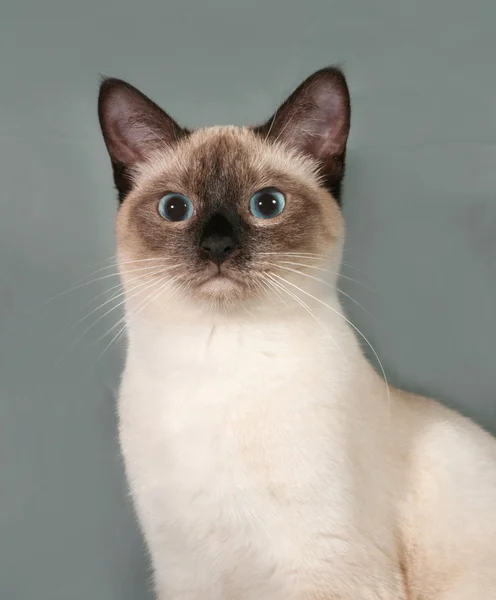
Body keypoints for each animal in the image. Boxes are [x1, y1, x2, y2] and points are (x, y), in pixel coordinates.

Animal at [97, 68, 496, 596]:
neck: (220, 361)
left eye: (267, 204)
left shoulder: (328, 569)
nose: (217, 246)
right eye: (175, 208)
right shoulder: (185, 573)